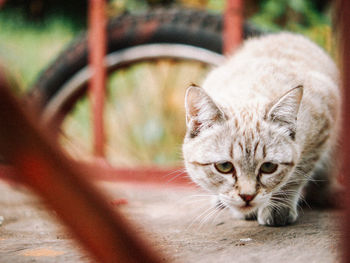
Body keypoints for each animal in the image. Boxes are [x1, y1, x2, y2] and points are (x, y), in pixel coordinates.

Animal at [182, 32, 340, 227]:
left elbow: (297, 174)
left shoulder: (322, 128)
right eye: (224, 167)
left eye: (269, 167)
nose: (247, 196)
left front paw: (278, 207)